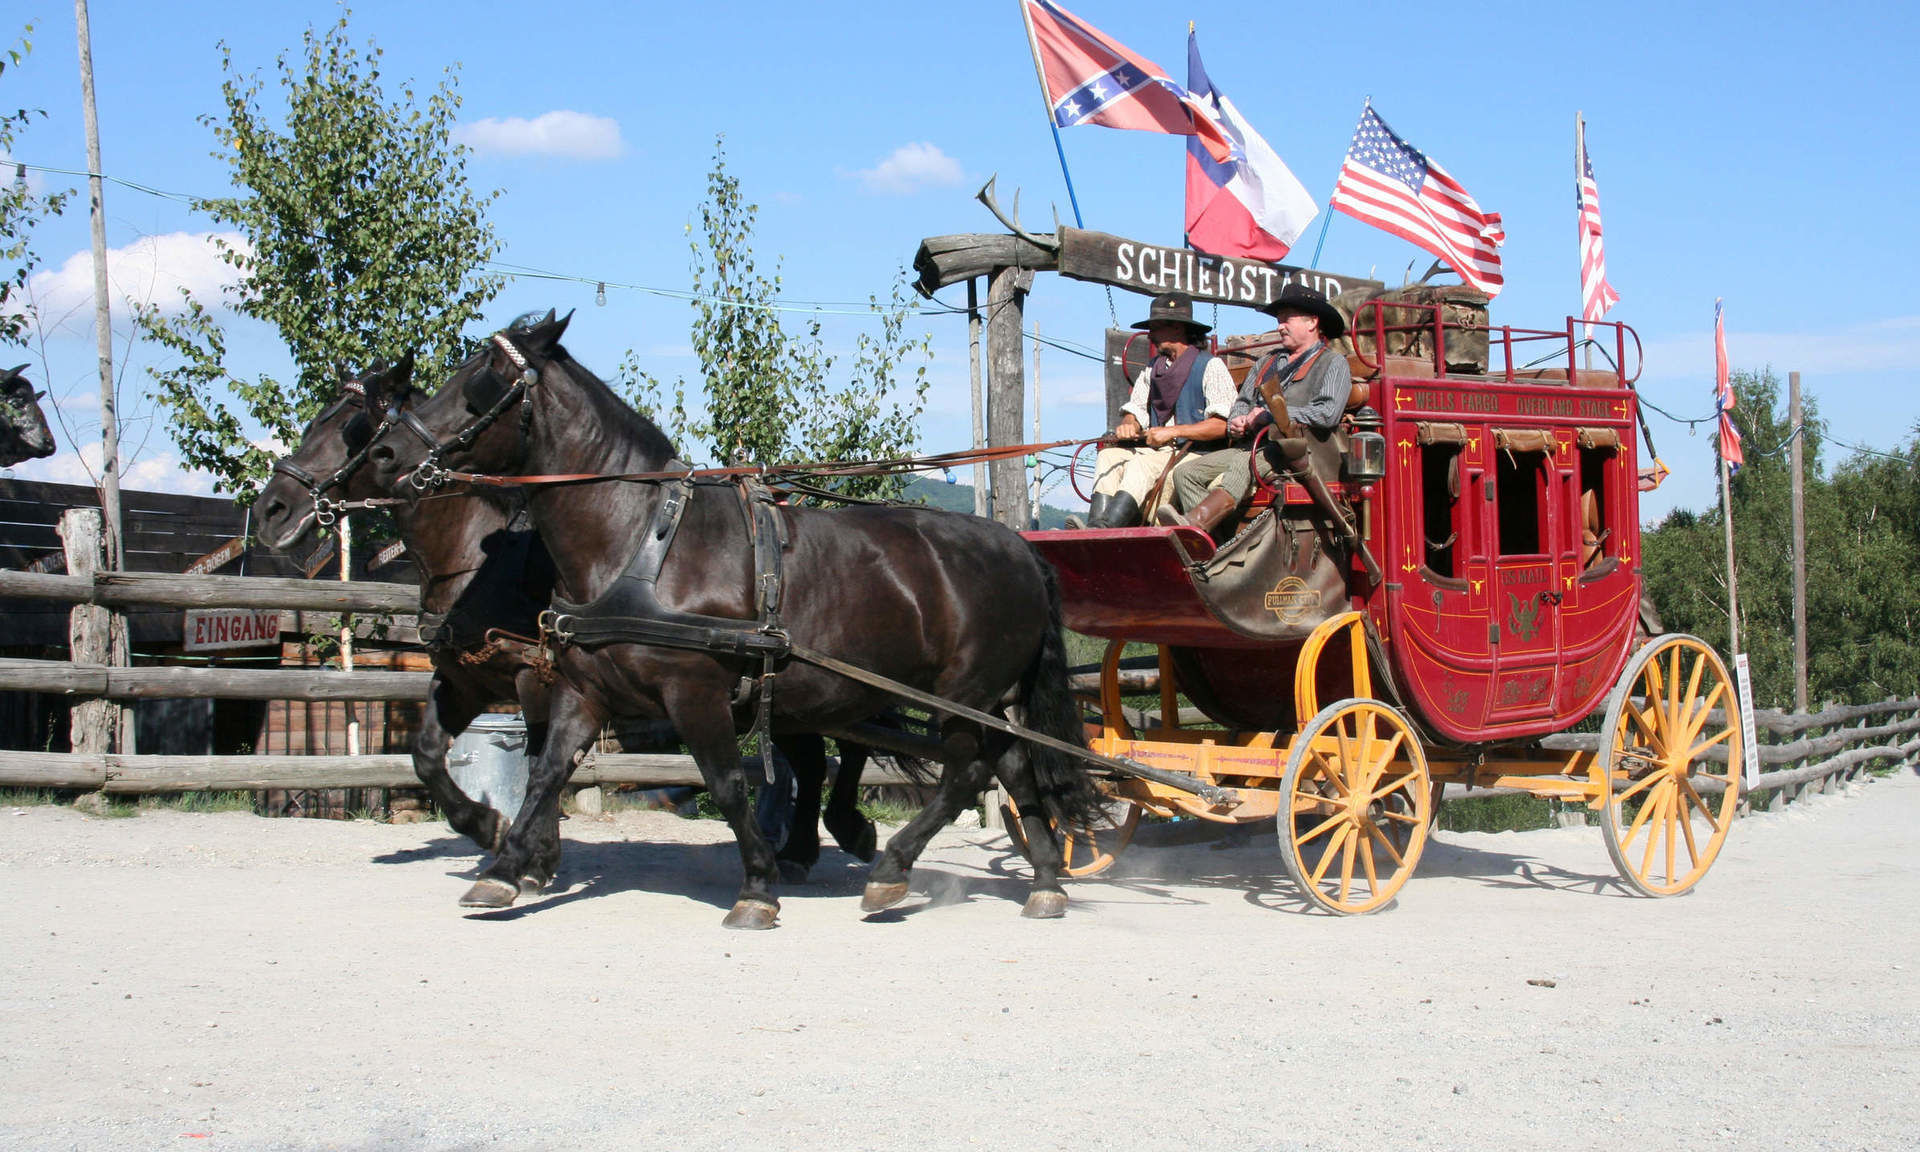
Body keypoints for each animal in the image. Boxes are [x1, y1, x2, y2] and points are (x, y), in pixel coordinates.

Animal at [251, 366, 887, 883]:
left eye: (352, 430)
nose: (271, 510)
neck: (481, 560)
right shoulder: (468, 678)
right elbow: (429, 754)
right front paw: (487, 828)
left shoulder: (537, 678)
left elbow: (541, 763)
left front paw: (533, 856)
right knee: (818, 755)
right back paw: (803, 850)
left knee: (850, 742)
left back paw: (840, 833)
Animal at [359, 312, 1098, 925]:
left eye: (481, 384)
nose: (387, 455)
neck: (639, 543)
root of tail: (1020, 549)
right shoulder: (581, 689)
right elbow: (546, 774)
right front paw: (506, 868)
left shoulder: (695, 691)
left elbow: (726, 782)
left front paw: (758, 888)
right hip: (986, 699)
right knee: (1013, 768)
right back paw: (1045, 880)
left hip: (963, 693)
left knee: (967, 773)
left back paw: (891, 869)